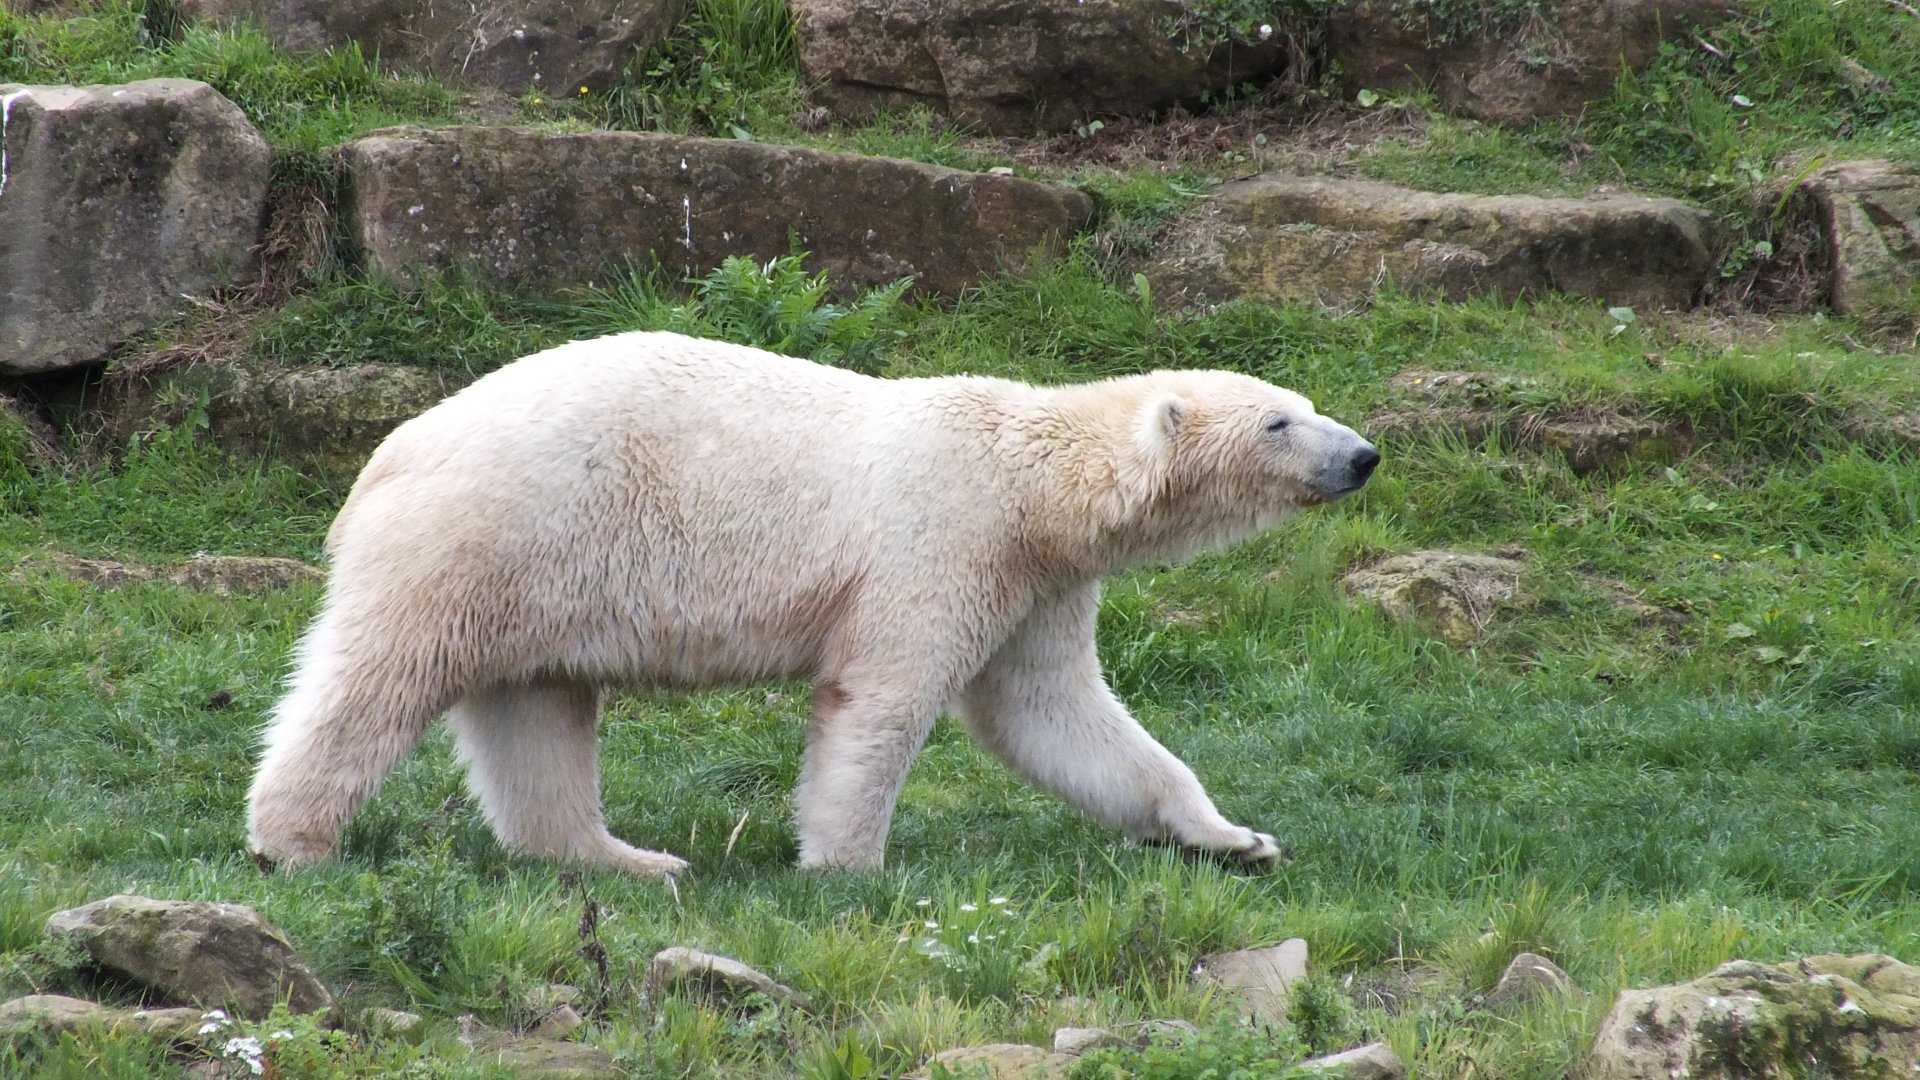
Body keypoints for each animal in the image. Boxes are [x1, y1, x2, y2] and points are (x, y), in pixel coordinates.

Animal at [246, 330, 1379, 878]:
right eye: (1279, 422)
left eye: (1307, 406)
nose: (1364, 455)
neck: (1032, 475)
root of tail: (389, 453)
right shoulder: (945, 536)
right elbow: (882, 700)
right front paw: (847, 868)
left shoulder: (1040, 582)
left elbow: (1053, 713)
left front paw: (1234, 839)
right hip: (498, 527)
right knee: (387, 675)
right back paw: (291, 839)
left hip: (539, 576)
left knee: (537, 710)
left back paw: (629, 860)